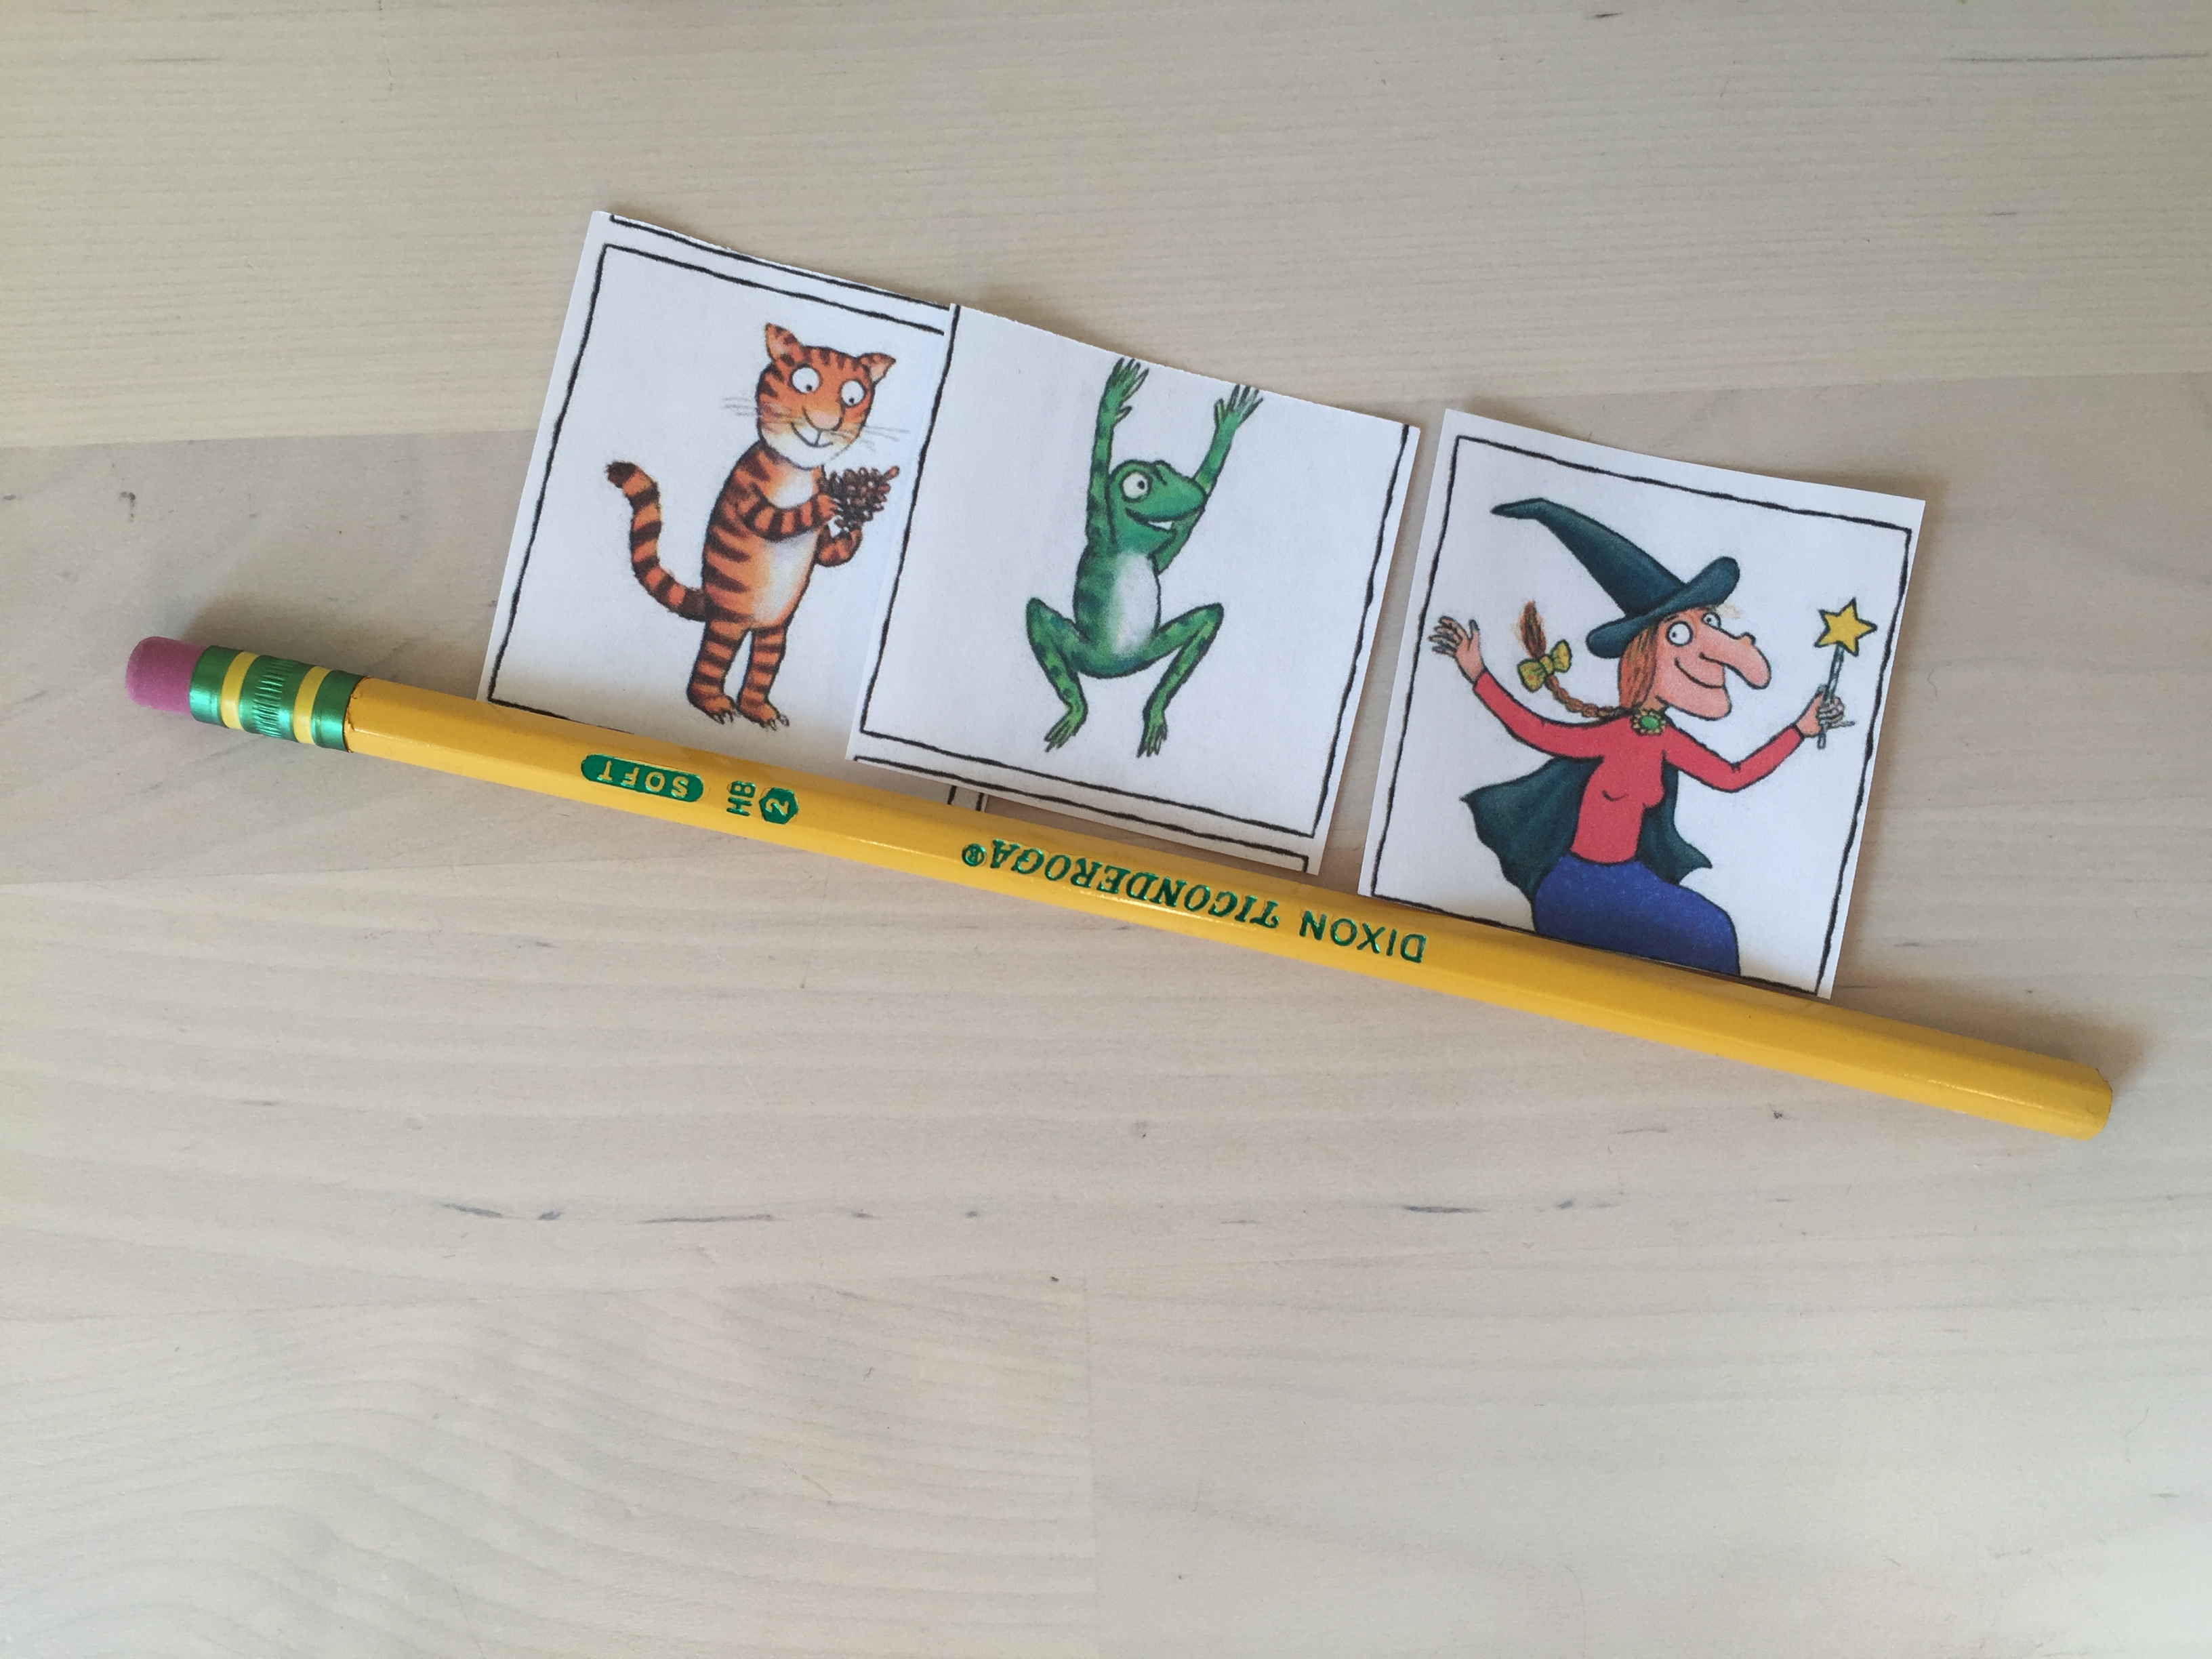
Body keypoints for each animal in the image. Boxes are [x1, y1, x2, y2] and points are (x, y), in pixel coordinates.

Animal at [609, 324, 897, 727]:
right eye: (805, 383)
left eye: (852, 396)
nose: (825, 423)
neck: (797, 469)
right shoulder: (745, 487)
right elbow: (774, 520)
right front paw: (823, 505)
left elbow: (827, 552)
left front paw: (854, 528)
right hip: (728, 619)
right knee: (713, 658)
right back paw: (713, 701)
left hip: (776, 628)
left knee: (764, 662)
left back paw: (757, 708)